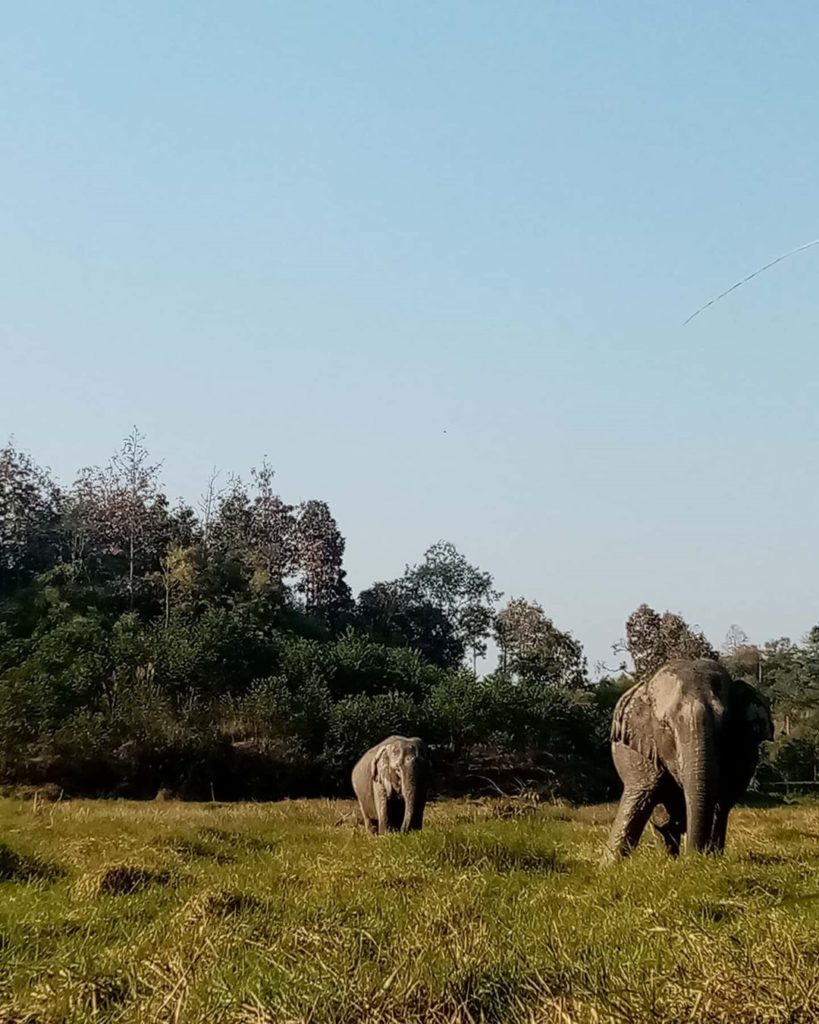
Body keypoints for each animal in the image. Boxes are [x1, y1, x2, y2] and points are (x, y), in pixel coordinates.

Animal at [604, 658, 773, 860]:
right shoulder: (641, 750)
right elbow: (644, 792)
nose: (694, 857)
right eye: (665, 726)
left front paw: (709, 858)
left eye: (725, 724)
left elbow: (721, 801)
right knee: (663, 823)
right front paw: (609, 863)